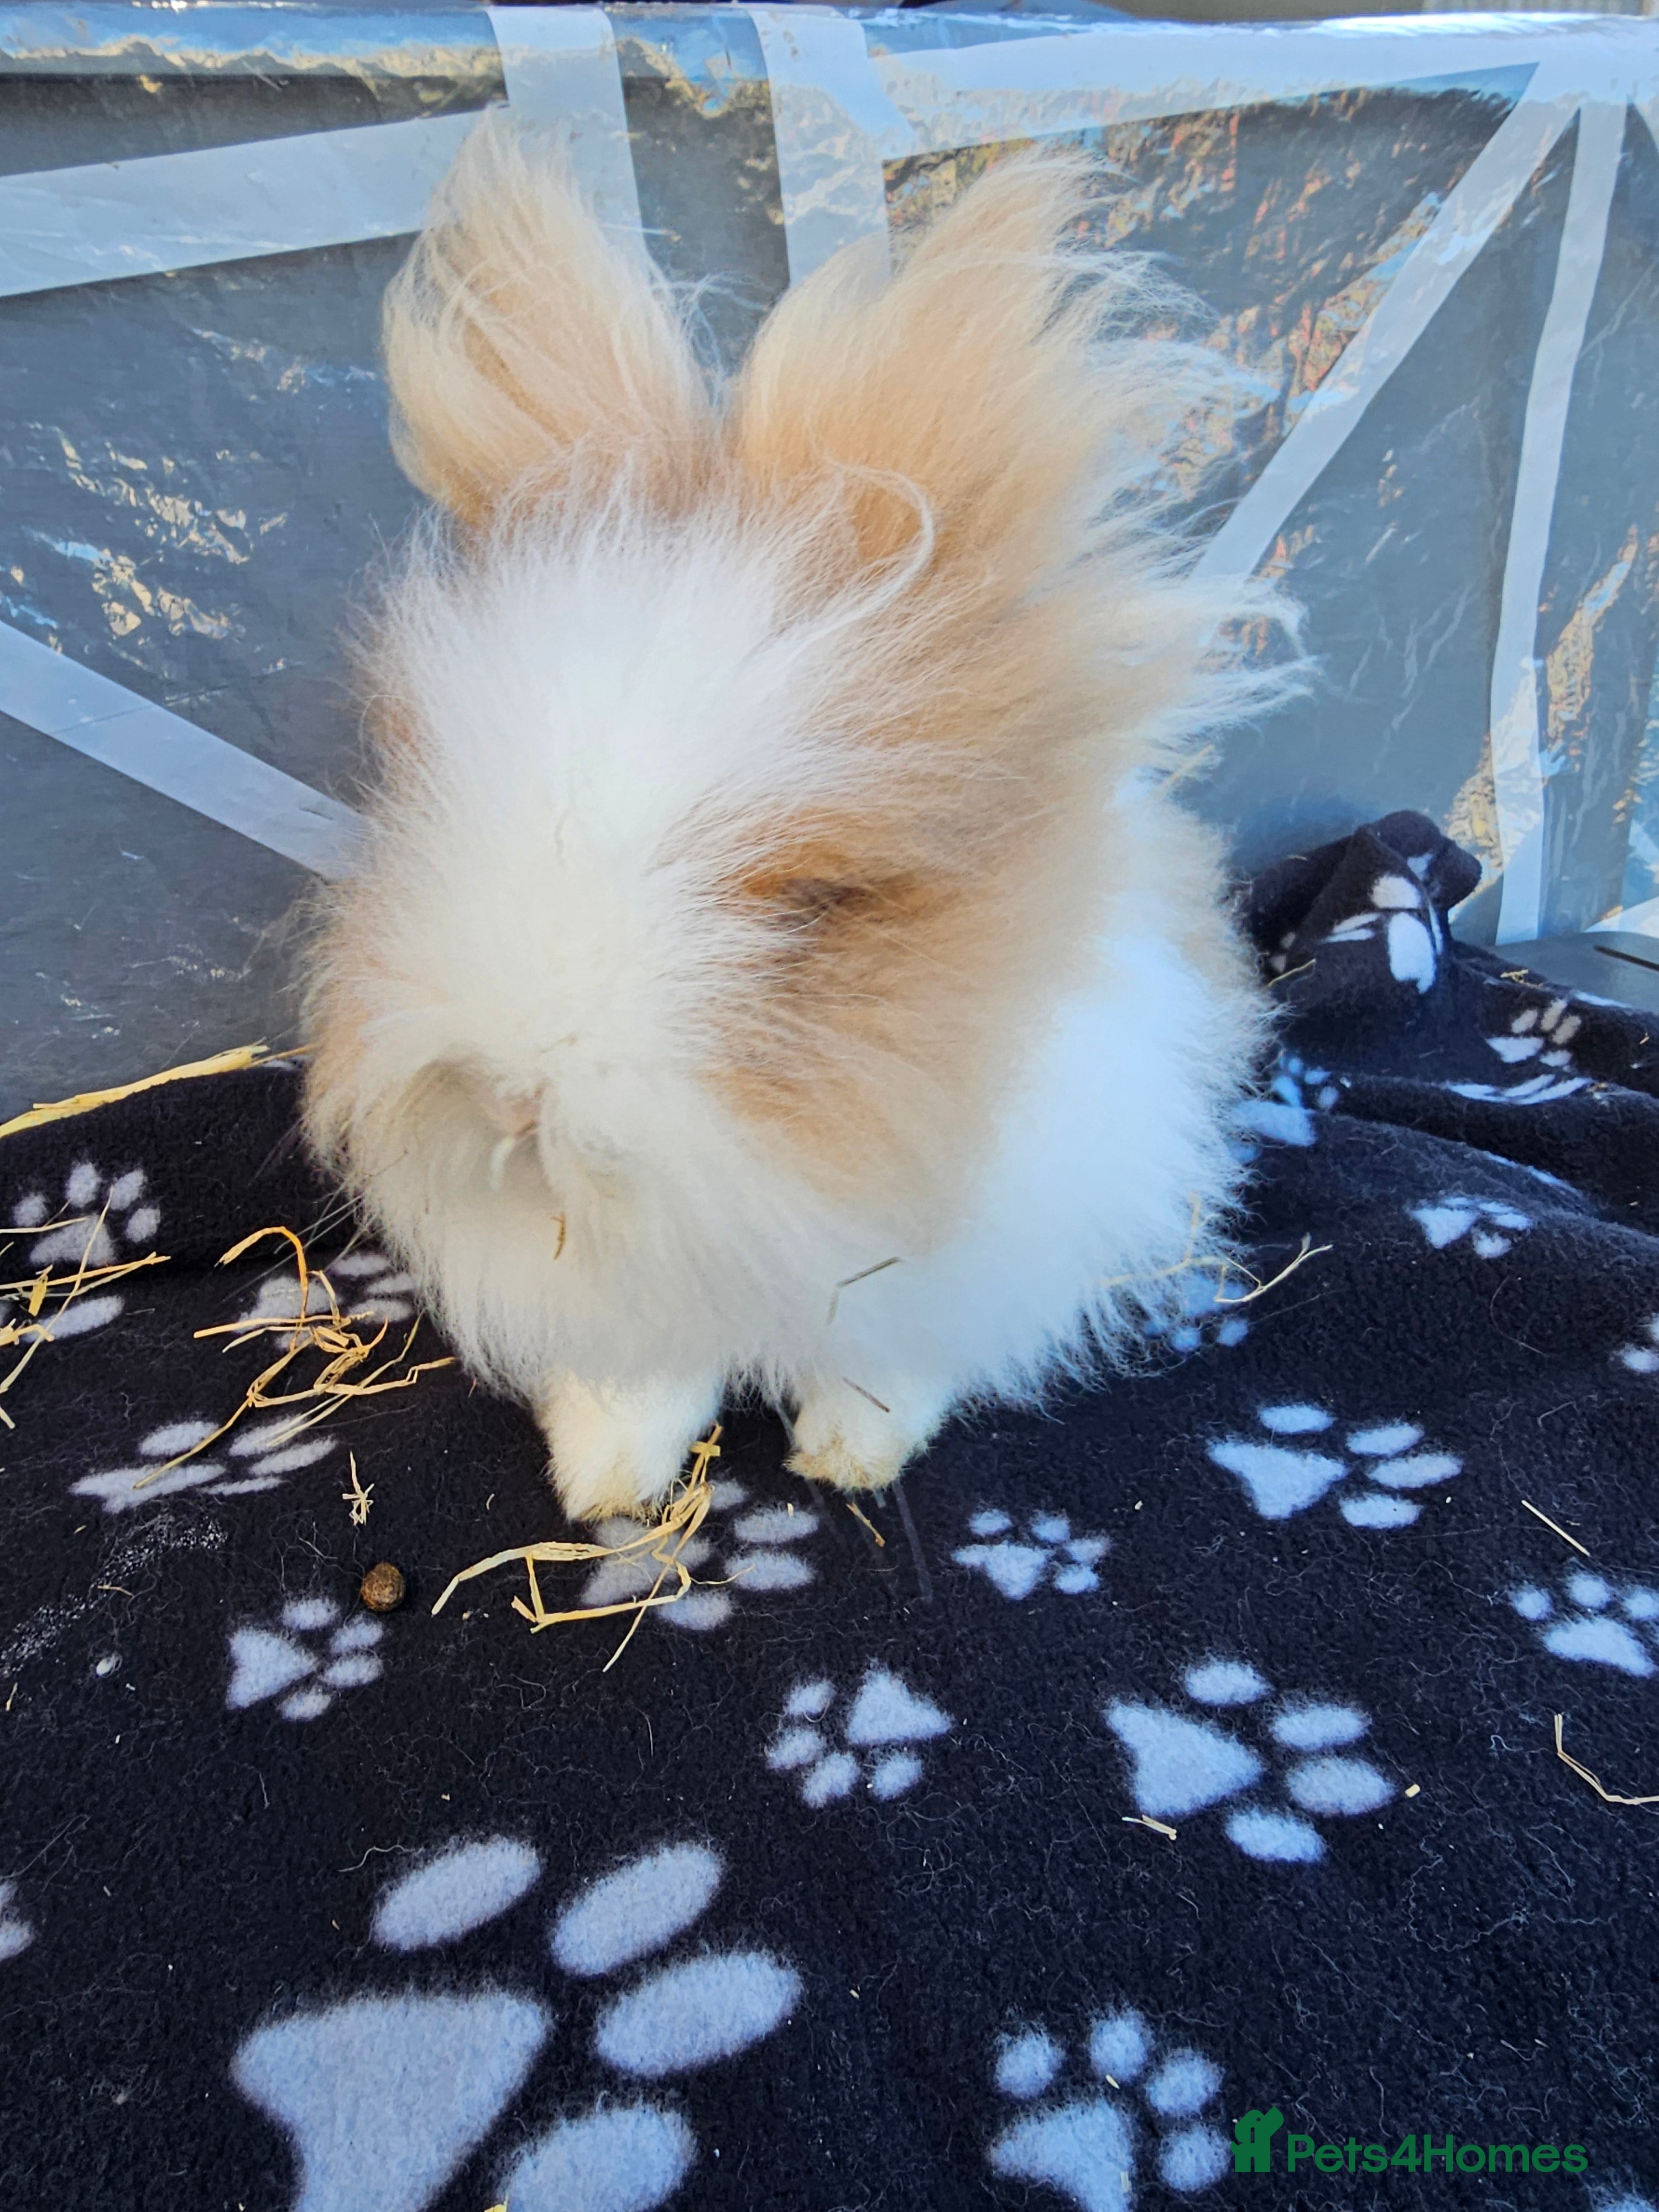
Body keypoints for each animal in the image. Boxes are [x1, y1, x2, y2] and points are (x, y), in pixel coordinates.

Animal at [303, 114, 1282, 1525]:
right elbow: (643, 1380)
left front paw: (848, 1454)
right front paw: (603, 1482)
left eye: (818, 909)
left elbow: (886, 1358)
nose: (512, 1098)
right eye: (420, 784)